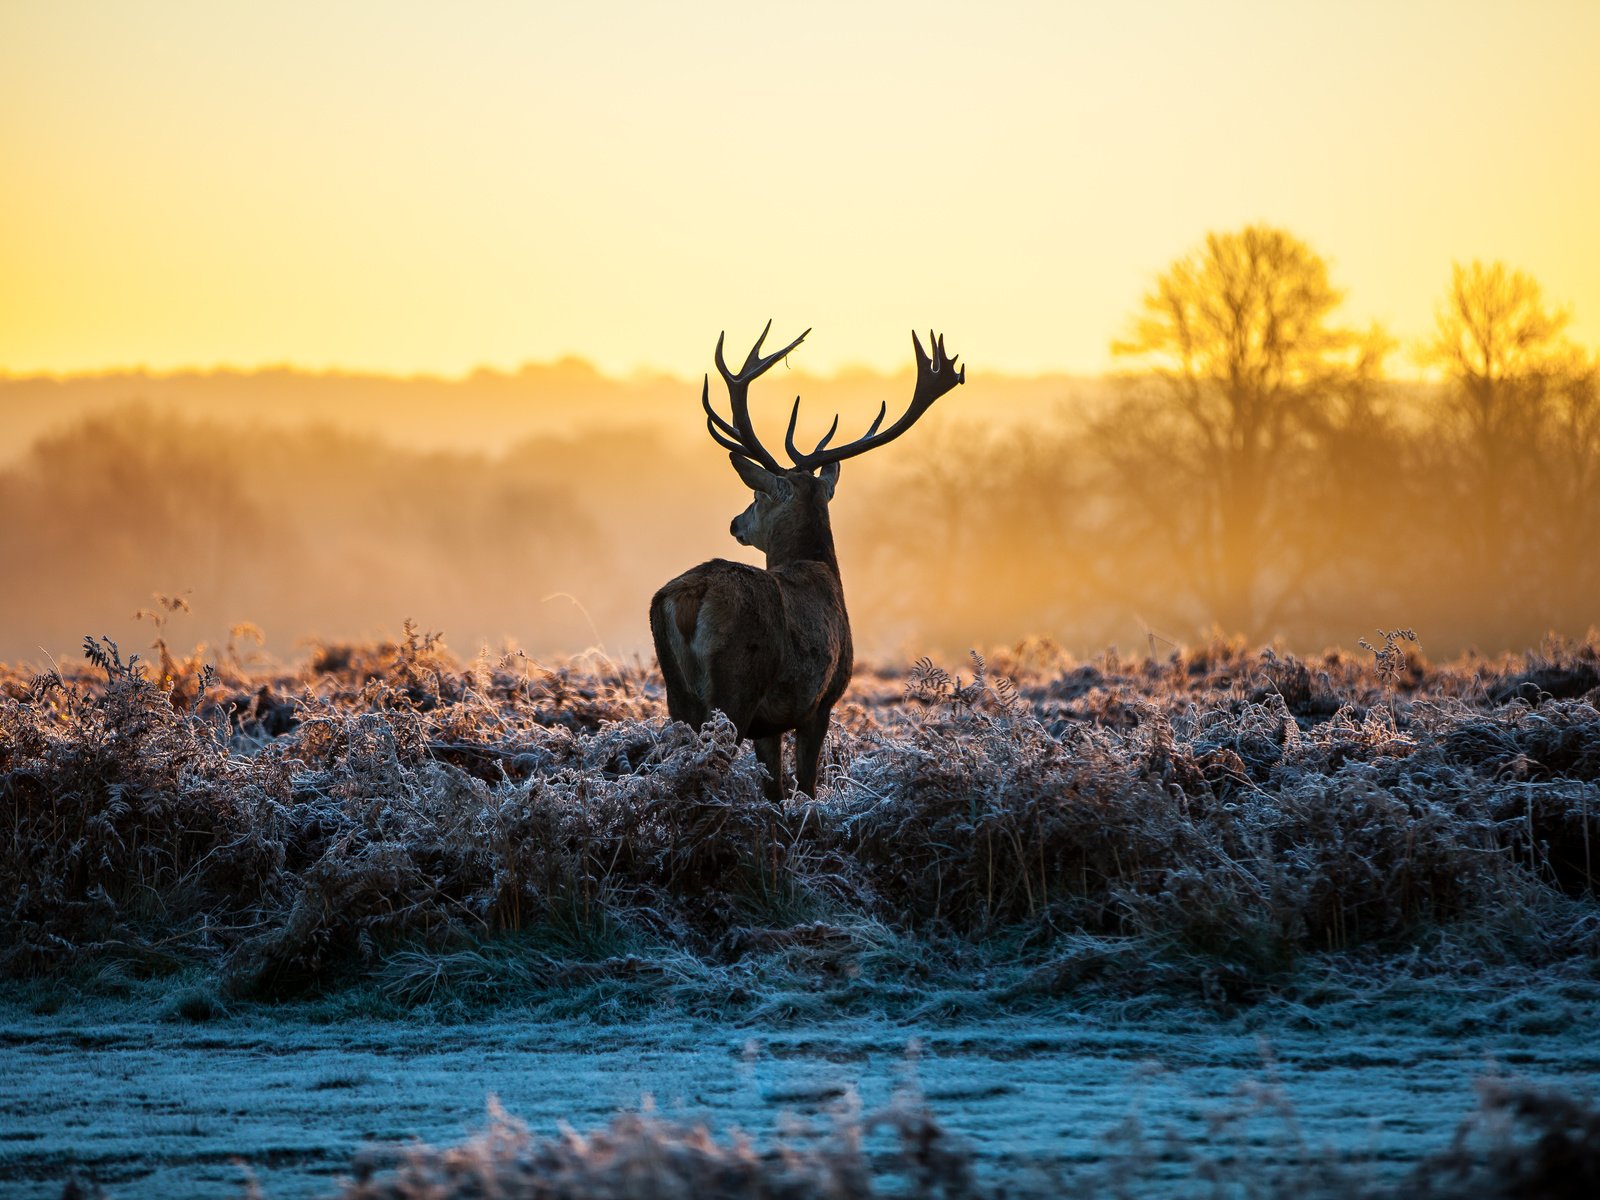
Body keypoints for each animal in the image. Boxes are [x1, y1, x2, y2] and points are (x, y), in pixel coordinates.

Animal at [649, 324, 960, 803]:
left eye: (756, 496)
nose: (735, 522)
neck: (820, 570)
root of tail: (689, 598)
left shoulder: (771, 723)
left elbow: (774, 788)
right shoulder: (820, 702)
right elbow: (806, 786)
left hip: (678, 695)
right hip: (736, 686)